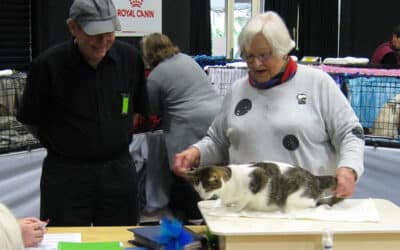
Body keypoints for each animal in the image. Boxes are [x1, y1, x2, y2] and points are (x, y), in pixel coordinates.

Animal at [185, 162, 344, 213]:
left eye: (207, 188)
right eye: (197, 188)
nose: (201, 196)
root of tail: (315, 177)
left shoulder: (259, 176)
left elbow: (243, 200)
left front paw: (233, 209)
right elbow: (223, 202)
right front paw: (220, 205)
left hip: (294, 198)